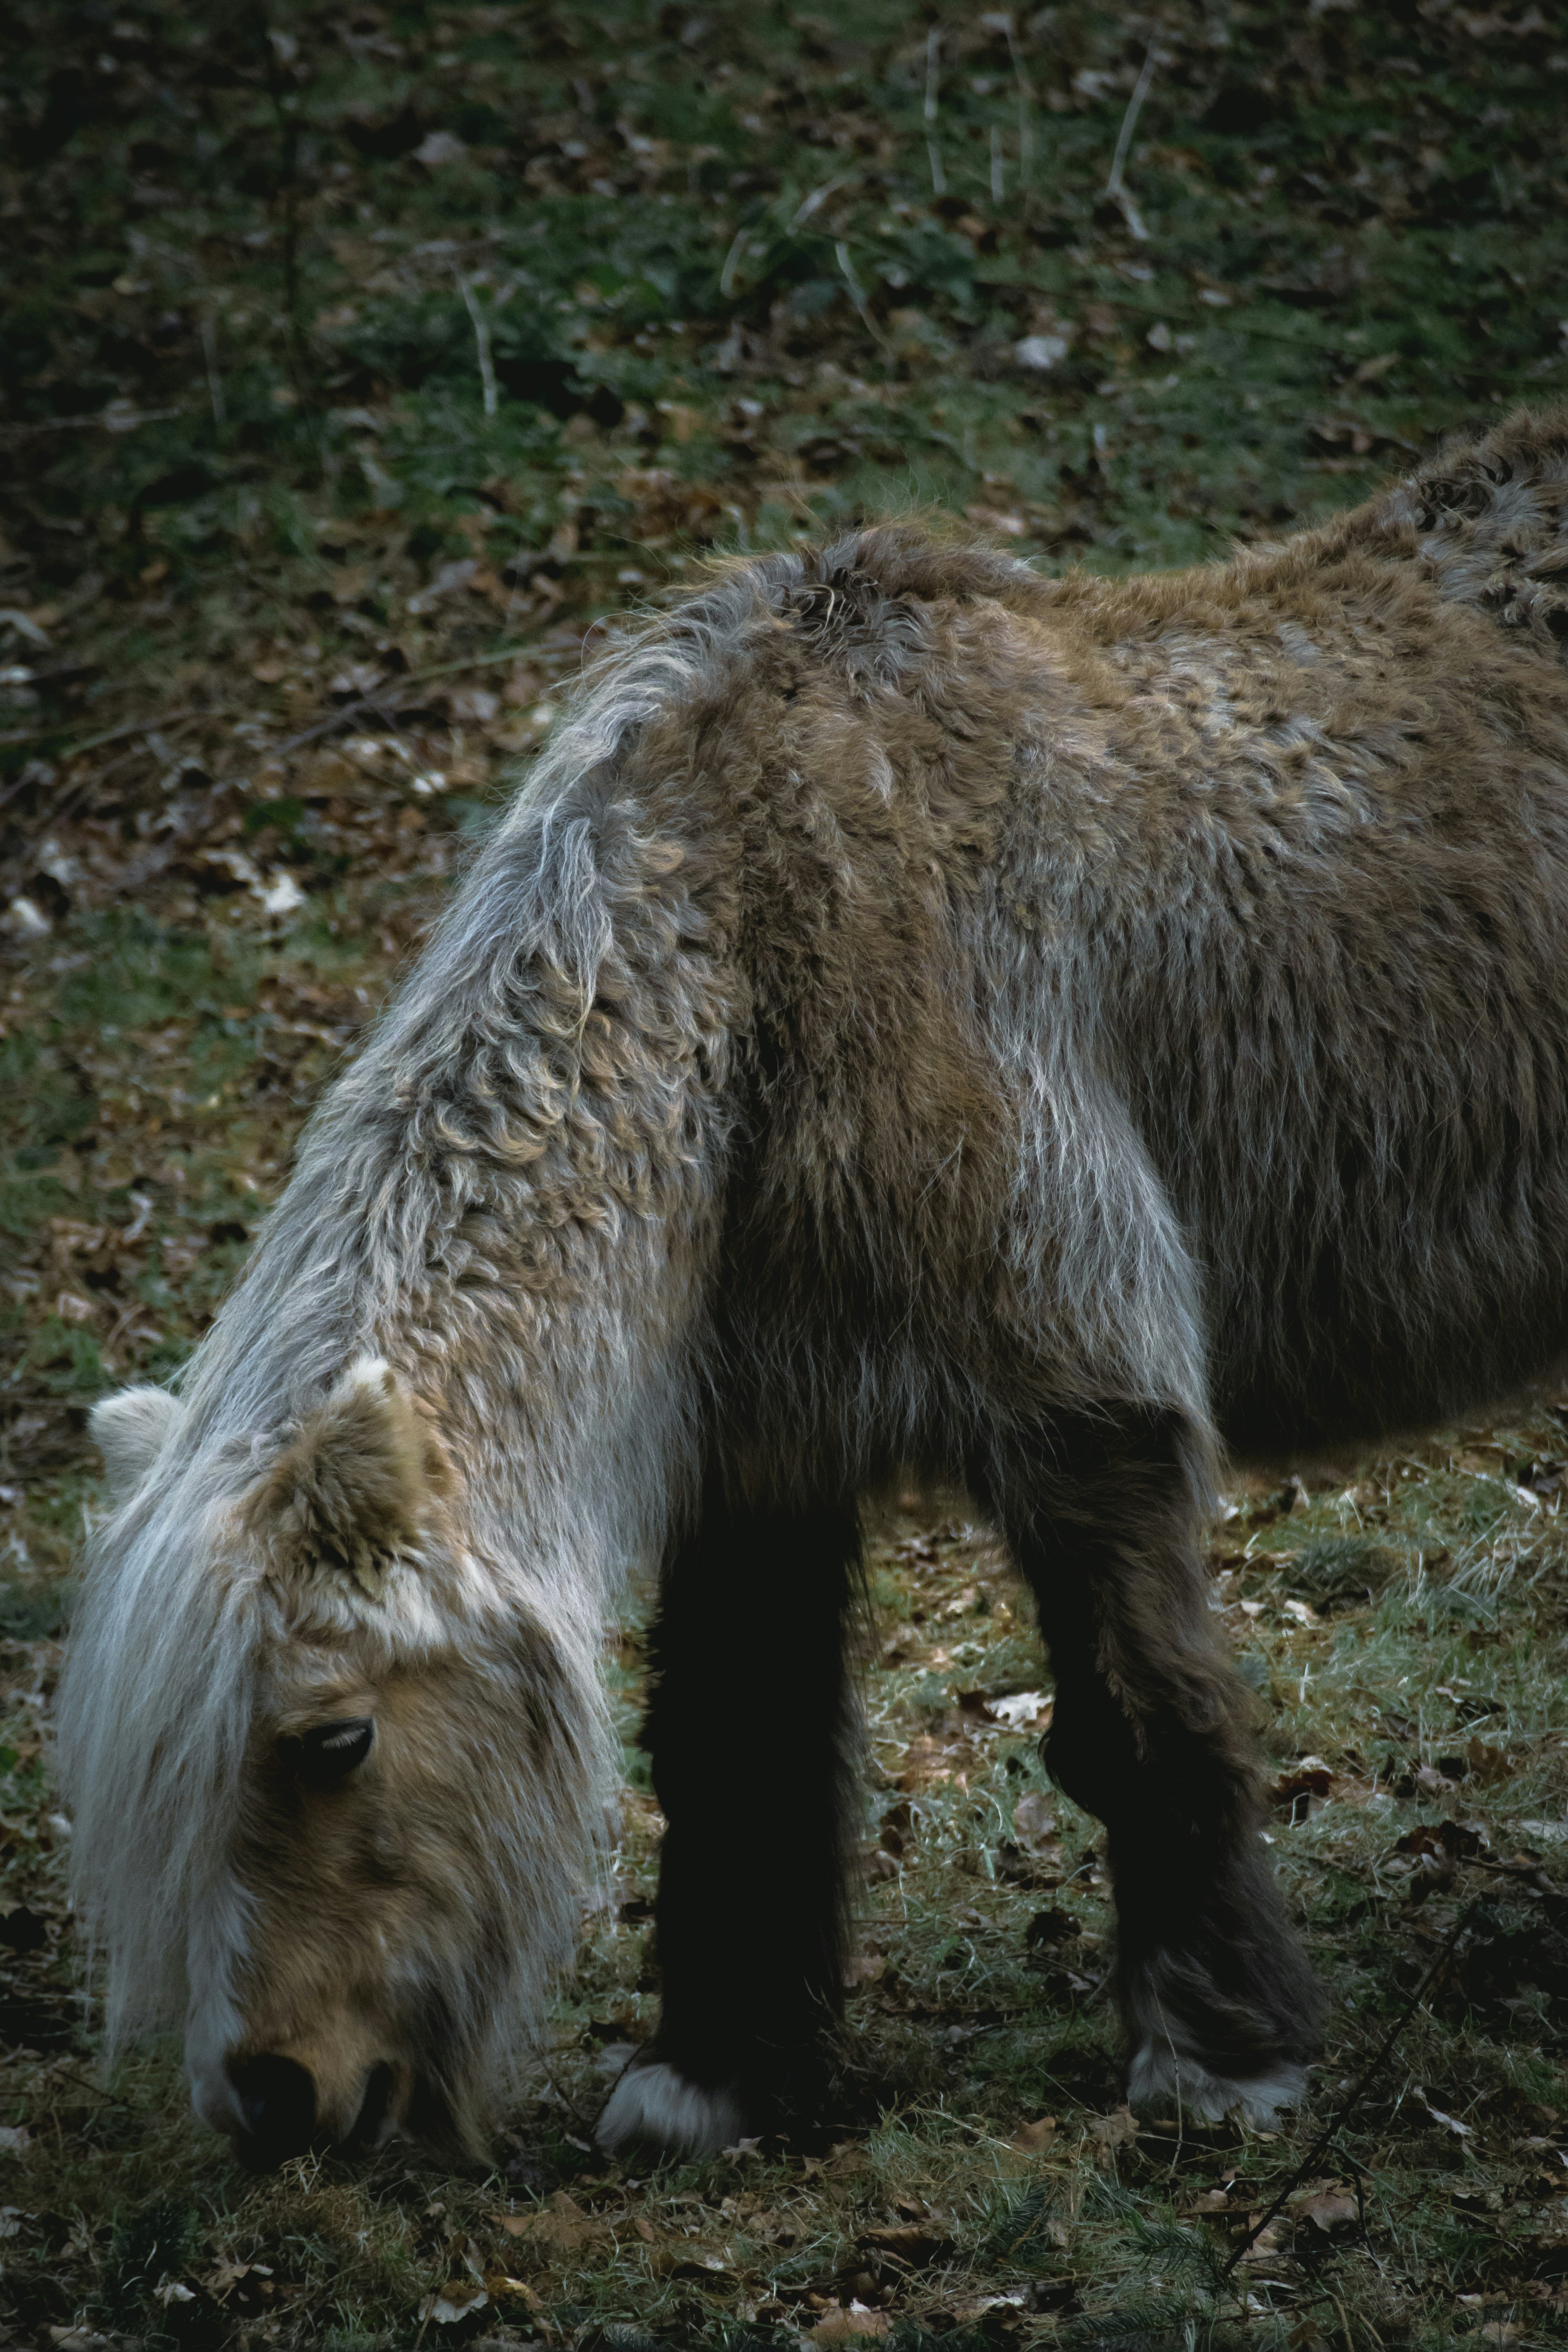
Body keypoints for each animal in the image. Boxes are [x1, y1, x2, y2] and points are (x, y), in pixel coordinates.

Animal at [58, 406, 1568, 2168]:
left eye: (335, 1734)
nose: (273, 2094)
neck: (779, 934)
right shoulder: (762, 1449)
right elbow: (735, 1744)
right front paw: (720, 2071)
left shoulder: (1079, 1398)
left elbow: (1137, 1720)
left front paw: (1219, 2056)